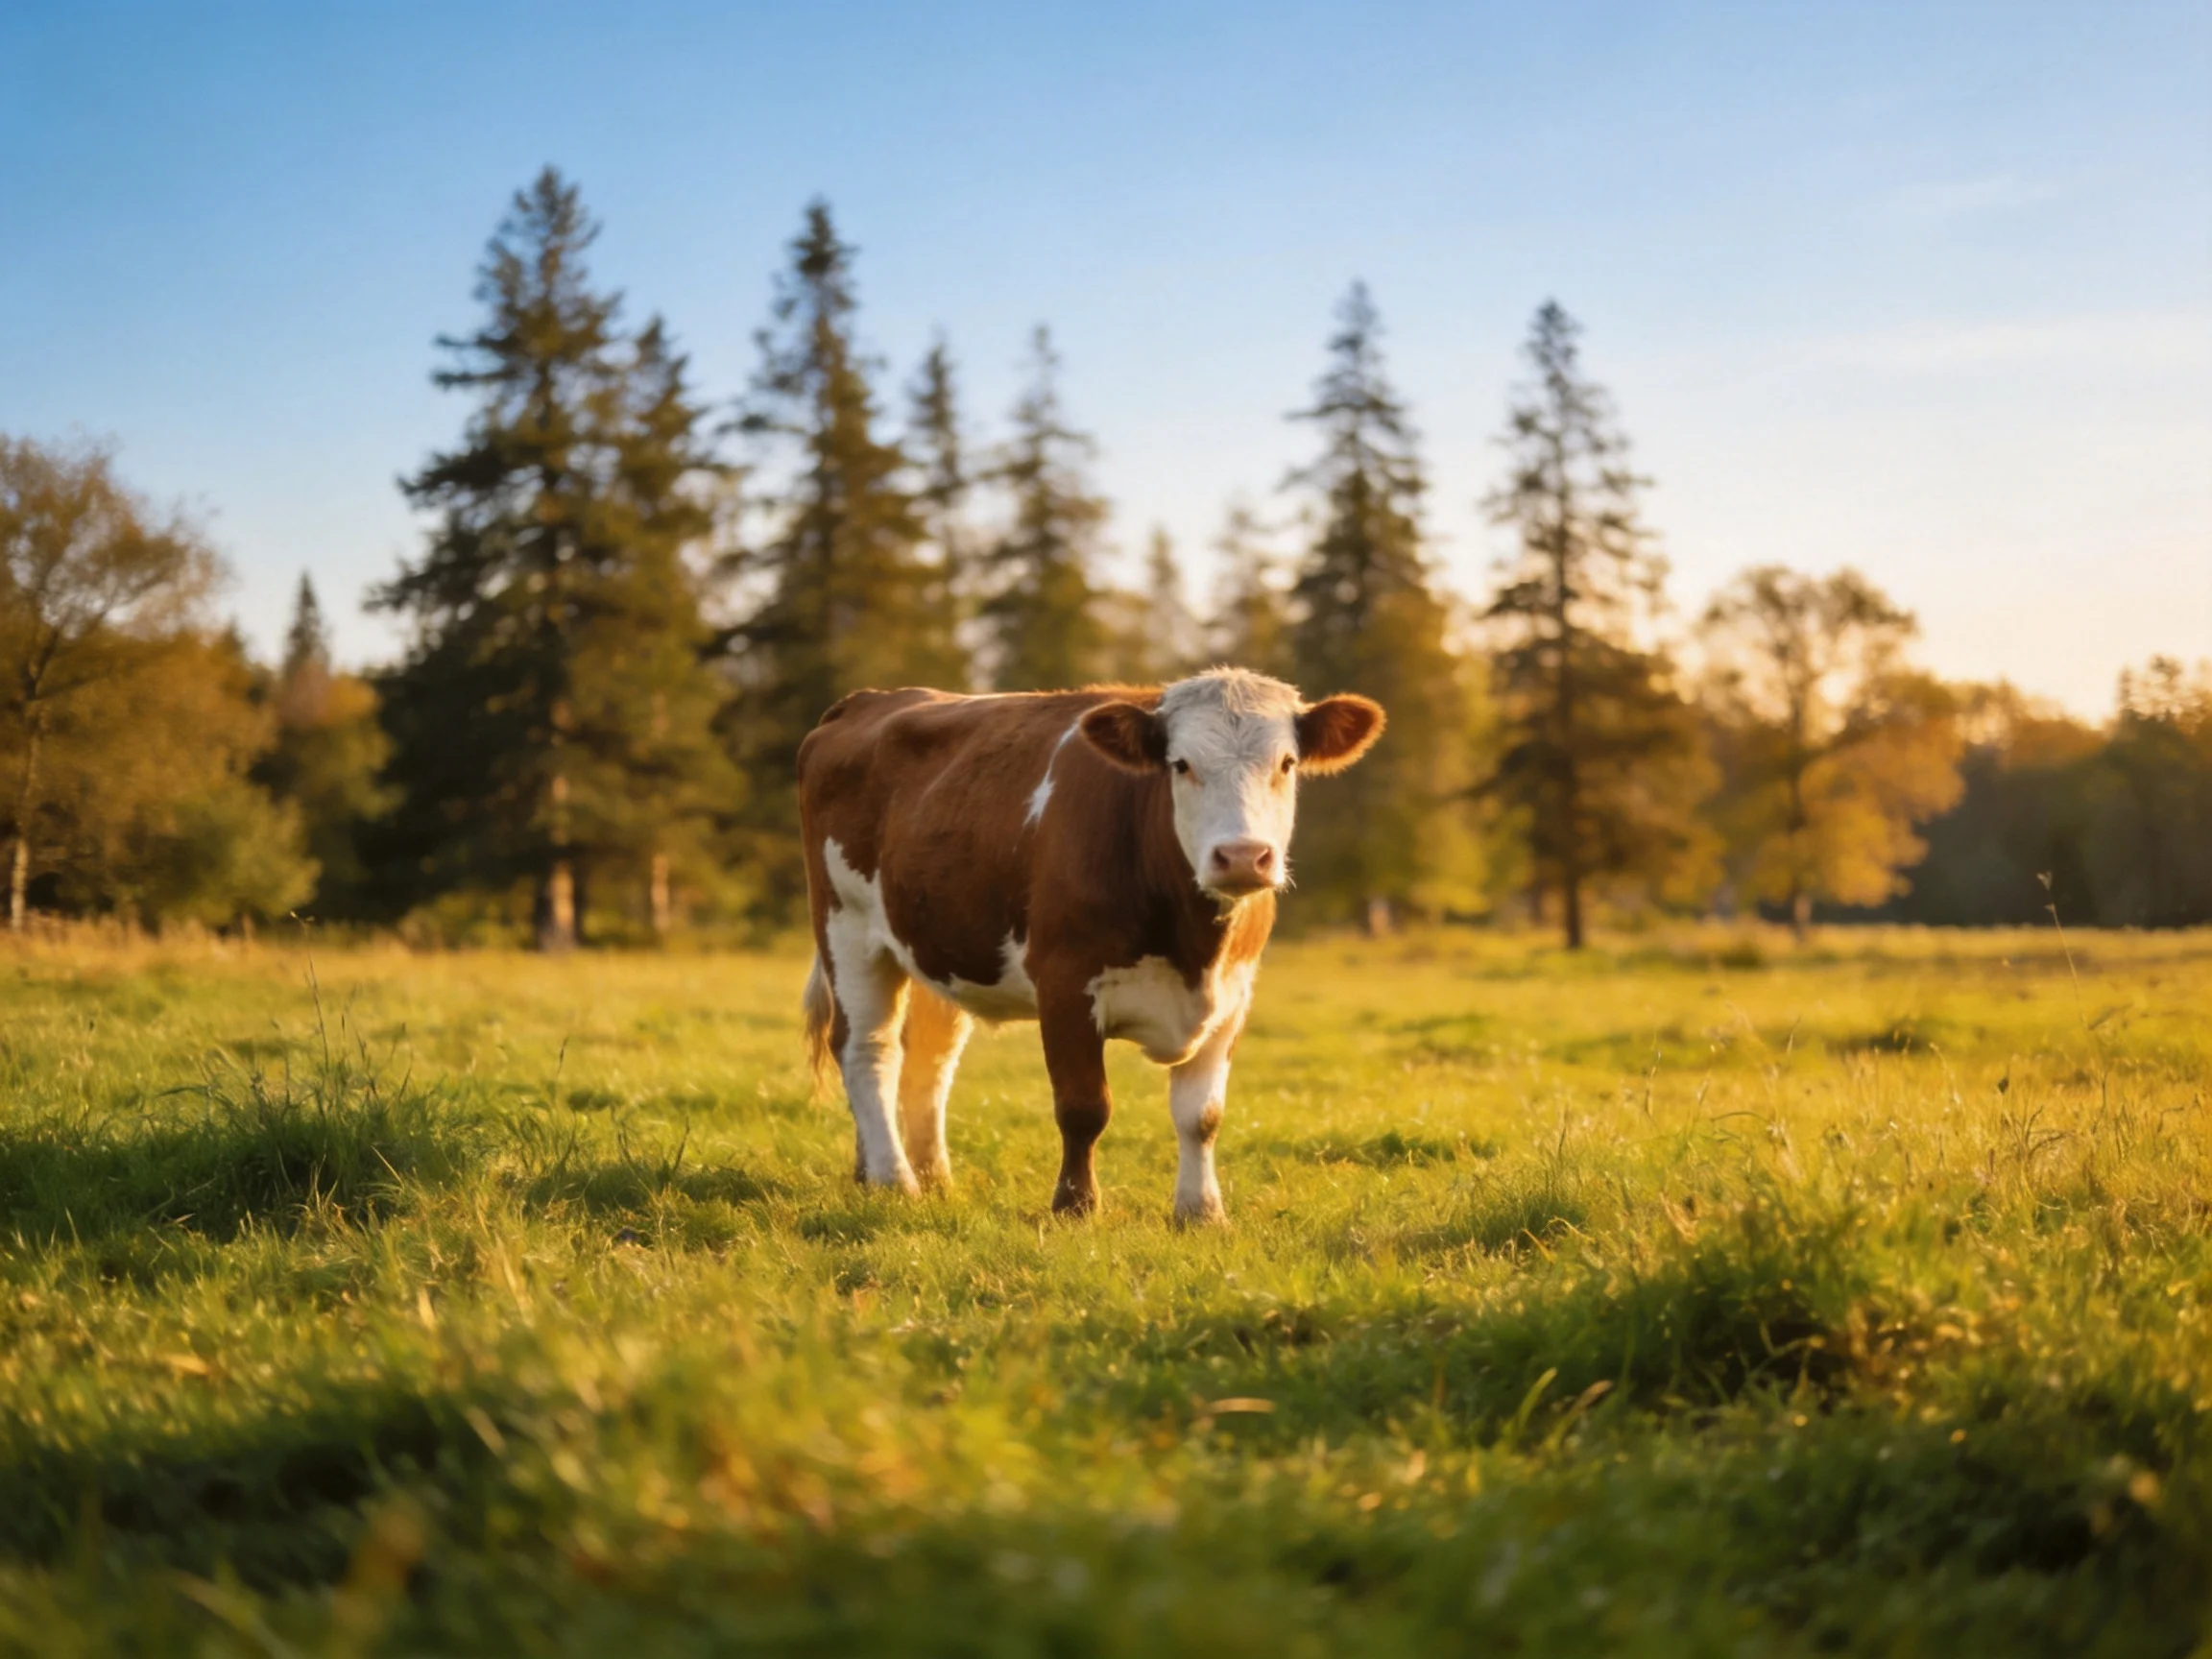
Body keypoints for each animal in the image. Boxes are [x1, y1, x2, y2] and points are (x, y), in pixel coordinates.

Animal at [797, 667, 1384, 1223]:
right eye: (1180, 764)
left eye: (1286, 763)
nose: (1242, 856)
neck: (1193, 946)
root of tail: (870, 699)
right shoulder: (1064, 983)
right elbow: (1083, 1107)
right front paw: (1075, 1207)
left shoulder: (1233, 995)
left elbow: (1202, 1115)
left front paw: (1201, 1212)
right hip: (846, 927)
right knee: (867, 1048)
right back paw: (894, 1179)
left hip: (936, 944)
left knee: (929, 1059)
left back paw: (919, 1176)